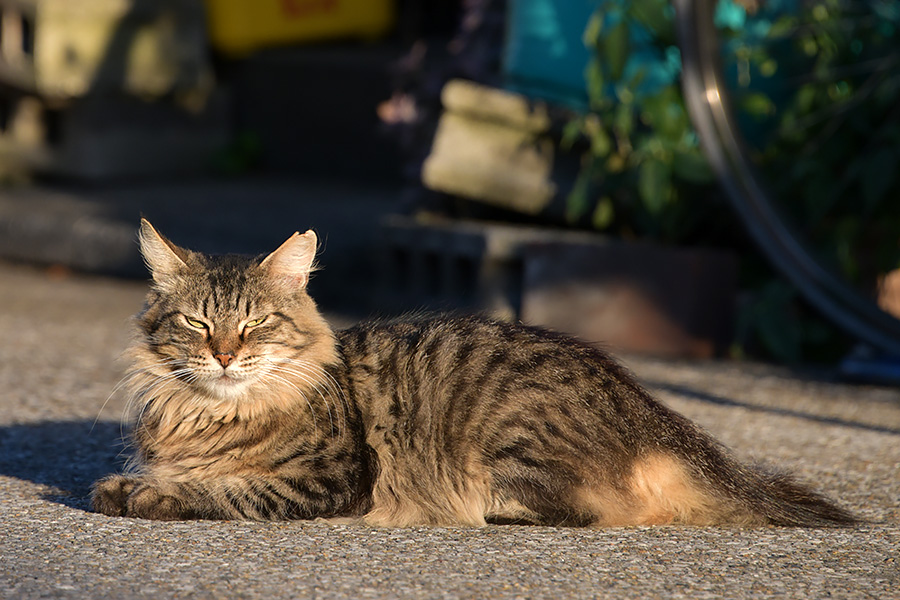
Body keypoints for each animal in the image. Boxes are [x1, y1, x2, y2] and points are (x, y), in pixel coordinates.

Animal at [91, 219, 856, 524]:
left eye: (253, 326)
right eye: (197, 324)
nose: (224, 354)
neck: (214, 411)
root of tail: (646, 407)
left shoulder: (330, 481)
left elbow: (228, 491)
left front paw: (149, 495)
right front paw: (126, 485)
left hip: (509, 438)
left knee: (608, 510)